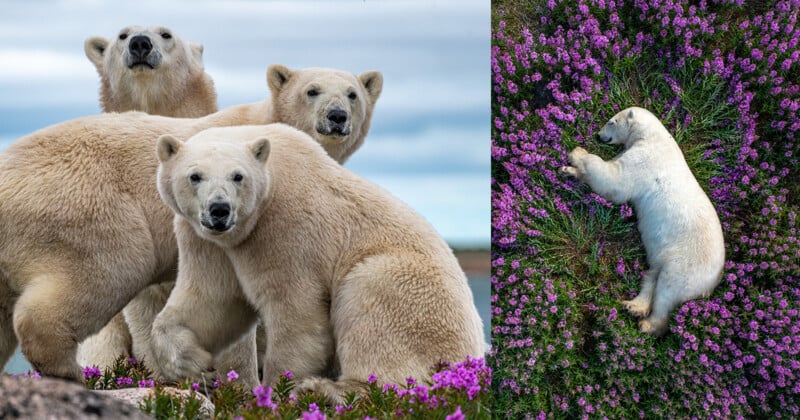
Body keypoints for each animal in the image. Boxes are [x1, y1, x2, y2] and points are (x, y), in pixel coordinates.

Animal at [0, 64, 382, 382]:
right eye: (312, 90)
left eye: (352, 93)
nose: (337, 116)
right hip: (90, 209)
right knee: (106, 269)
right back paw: (70, 371)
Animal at [152, 124, 488, 404]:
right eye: (195, 176)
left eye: (238, 176)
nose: (219, 209)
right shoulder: (206, 240)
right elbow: (212, 299)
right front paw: (193, 363)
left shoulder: (286, 229)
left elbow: (297, 313)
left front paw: (276, 390)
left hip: (409, 288)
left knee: (372, 304)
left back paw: (328, 389)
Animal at [560, 107, 728, 334]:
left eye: (611, 122)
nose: (598, 135)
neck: (653, 137)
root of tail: (714, 281)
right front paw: (569, 171)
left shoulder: (644, 160)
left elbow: (614, 179)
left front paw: (577, 154)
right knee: (652, 276)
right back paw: (633, 306)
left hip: (687, 264)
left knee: (668, 289)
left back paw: (648, 325)